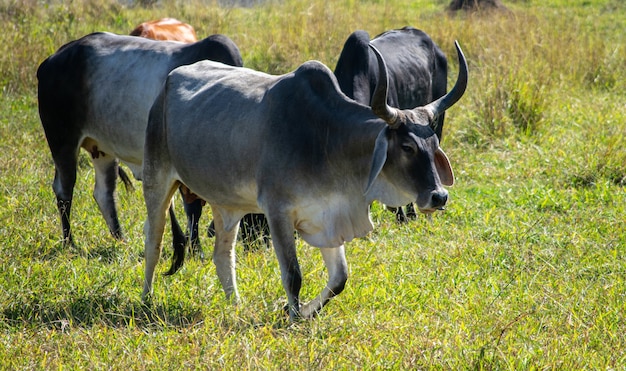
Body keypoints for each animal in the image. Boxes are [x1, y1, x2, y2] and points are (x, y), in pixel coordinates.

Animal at [36, 32, 241, 256]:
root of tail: (49, 62)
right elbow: (193, 210)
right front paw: (196, 250)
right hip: (62, 140)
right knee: (64, 190)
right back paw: (70, 242)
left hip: (103, 149)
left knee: (104, 193)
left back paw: (120, 240)